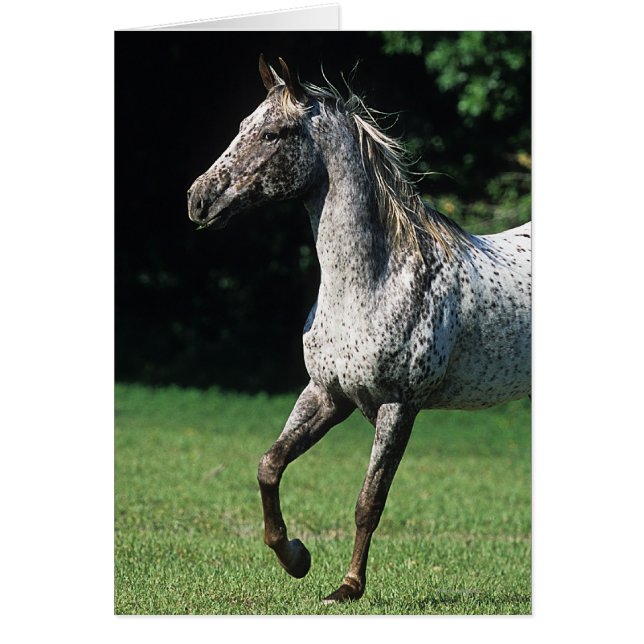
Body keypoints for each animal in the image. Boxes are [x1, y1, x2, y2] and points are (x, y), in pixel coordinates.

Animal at [187, 56, 531, 603]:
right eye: (243, 125)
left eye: (273, 133)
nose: (197, 199)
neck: (374, 280)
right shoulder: (327, 394)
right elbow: (269, 465)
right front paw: (296, 558)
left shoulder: (398, 407)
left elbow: (369, 501)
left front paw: (347, 587)